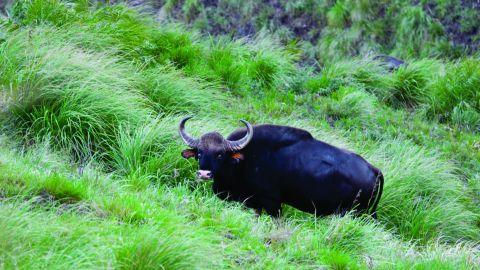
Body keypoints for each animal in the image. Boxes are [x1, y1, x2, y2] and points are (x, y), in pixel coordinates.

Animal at [178, 117, 384, 218]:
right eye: (199, 153)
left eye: (220, 154)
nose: (204, 173)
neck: (245, 159)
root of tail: (374, 169)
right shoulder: (256, 204)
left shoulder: (272, 203)